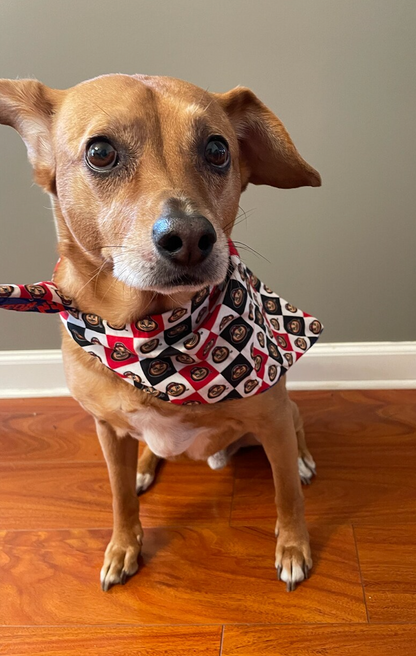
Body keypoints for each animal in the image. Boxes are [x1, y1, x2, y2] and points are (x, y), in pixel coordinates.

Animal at [0, 74, 322, 592]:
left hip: (282, 416)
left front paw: (294, 547)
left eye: (217, 149)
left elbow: (287, 496)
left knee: (296, 435)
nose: (190, 237)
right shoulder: (107, 429)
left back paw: (303, 461)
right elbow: (118, 499)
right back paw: (144, 467)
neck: (154, 336)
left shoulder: (272, 420)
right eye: (101, 152)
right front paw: (123, 546)